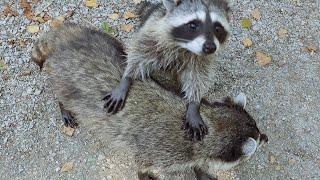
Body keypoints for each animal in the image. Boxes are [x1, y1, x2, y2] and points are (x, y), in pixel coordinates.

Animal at [31, 23, 268, 179]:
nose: (265, 137)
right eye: (257, 138)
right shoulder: (158, 153)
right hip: (63, 79)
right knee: (62, 94)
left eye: (256, 127)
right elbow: (144, 169)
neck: (211, 124)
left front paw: (200, 170)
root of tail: (66, 39)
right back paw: (64, 107)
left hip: (106, 40)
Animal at [105, 0, 232, 141]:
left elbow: (198, 76)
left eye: (217, 28)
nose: (210, 47)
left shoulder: (202, 58)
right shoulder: (153, 34)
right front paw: (127, 77)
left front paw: (194, 103)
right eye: (193, 25)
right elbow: (139, 54)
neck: (185, 47)